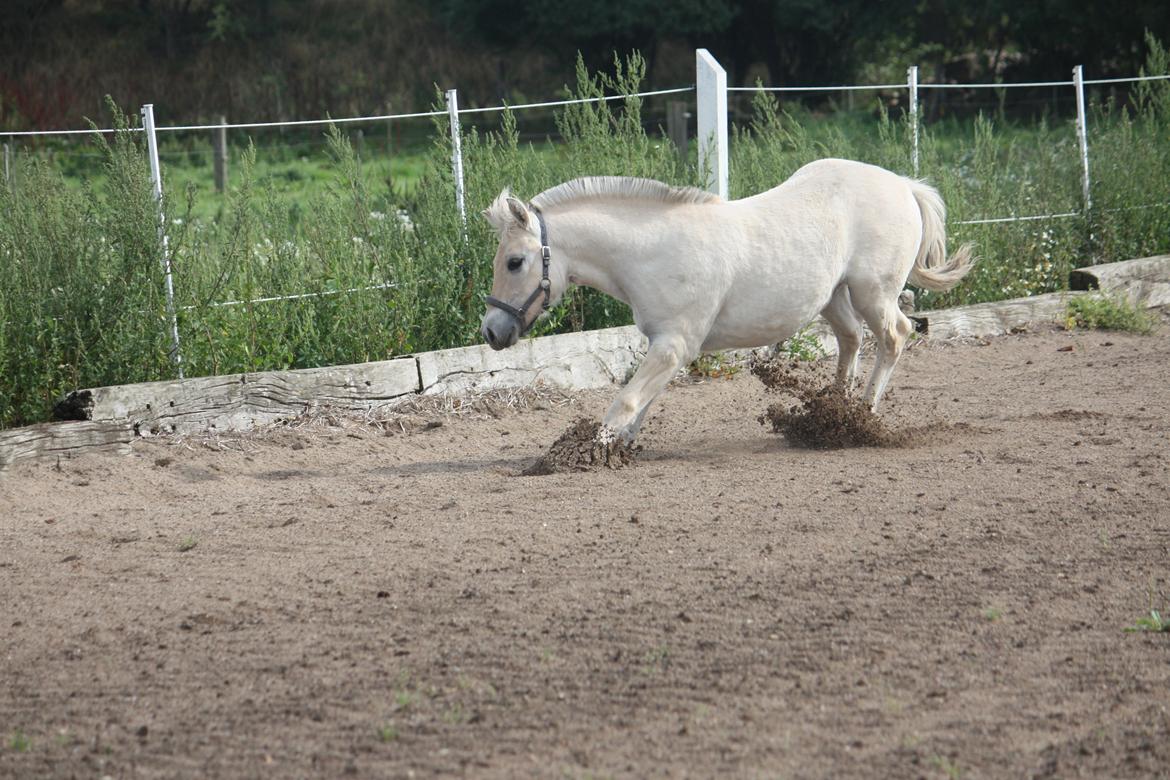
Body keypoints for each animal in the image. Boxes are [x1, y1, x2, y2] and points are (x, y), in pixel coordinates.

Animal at [479, 159, 973, 444]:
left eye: (515, 262)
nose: (491, 331)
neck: (650, 250)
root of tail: (905, 186)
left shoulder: (675, 345)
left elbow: (627, 401)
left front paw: (585, 450)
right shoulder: (664, 345)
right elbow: (641, 402)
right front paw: (619, 446)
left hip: (874, 291)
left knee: (895, 335)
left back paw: (863, 419)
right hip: (831, 296)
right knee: (851, 339)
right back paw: (833, 415)